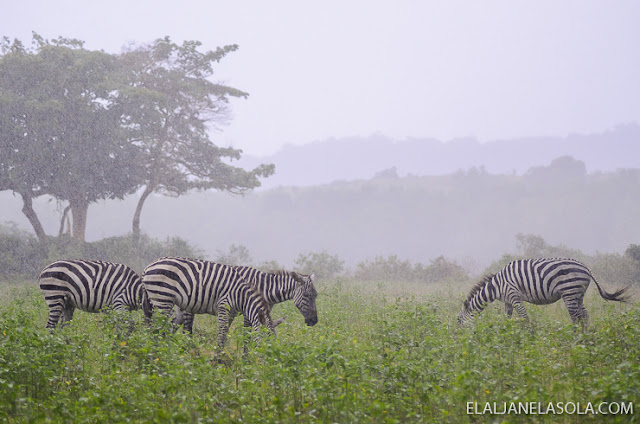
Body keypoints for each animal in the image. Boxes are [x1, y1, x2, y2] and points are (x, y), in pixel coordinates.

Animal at [141, 256, 276, 352]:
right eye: (268, 338)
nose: (272, 363)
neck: (240, 295)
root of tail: (147, 267)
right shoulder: (223, 306)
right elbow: (222, 332)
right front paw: (218, 358)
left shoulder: (231, 312)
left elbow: (227, 332)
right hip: (162, 298)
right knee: (158, 328)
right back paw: (160, 351)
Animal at [175, 266, 318, 332]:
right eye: (307, 296)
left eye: (316, 295)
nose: (314, 321)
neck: (263, 288)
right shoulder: (247, 311)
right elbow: (247, 335)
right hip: (188, 308)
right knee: (186, 330)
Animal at [456, 256, 632, 330]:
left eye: (458, 321)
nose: (456, 339)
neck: (497, 286)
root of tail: (586, 267)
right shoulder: (508, 301)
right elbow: (507, 319)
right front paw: (505, 335)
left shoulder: (514, 296)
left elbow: (525, 319)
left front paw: (528, 337)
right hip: (579, 294)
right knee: (584, 315)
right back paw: (586, 337)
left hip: (569, 292)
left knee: (575, 317)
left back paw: (575, 339)